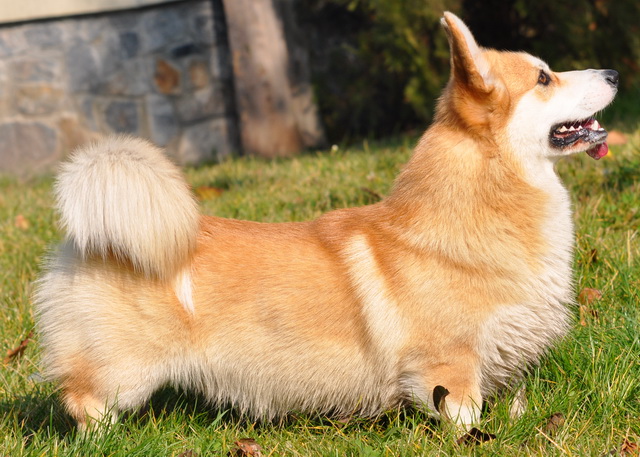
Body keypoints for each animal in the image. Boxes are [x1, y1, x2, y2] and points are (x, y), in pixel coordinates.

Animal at [32, 12, 616, 430]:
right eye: (543, 77)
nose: (613, 72)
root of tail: (88, 240)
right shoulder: (448, 365)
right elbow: (463, 414)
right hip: (124, 370)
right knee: (82, 400)